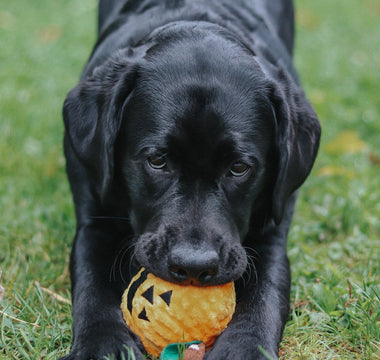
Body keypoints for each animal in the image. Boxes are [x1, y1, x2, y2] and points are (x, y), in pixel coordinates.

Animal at [61, 1, 320, 358]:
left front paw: (245, 346)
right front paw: (104, 345)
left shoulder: (272, 231)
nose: (194, 266)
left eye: (239, 167)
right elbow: (91, 285)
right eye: (157, 160)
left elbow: (267, 292)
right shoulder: (93, 215)